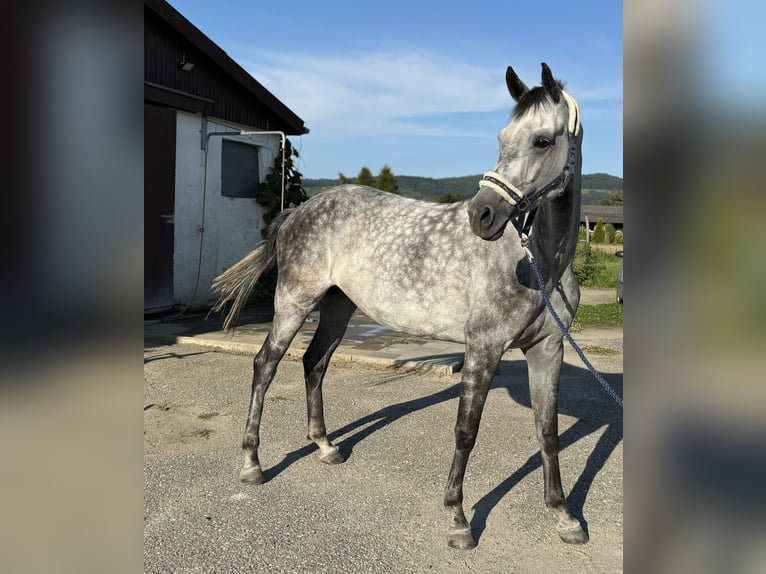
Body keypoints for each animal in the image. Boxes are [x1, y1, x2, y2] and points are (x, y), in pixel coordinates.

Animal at [212, 62, 588, 548]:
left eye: (542, 140)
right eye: (502, 137)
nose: (482, 215)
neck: (540, 263)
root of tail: (299, 211)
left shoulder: (547, 350)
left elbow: (548, 431)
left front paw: (564, 515)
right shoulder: (483, 347)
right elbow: (466, 430)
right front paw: (458, 519)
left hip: (337, 307)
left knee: (315, 363)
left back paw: (325, 446)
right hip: (295, 302)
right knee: (265, 365)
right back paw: (252, 464)